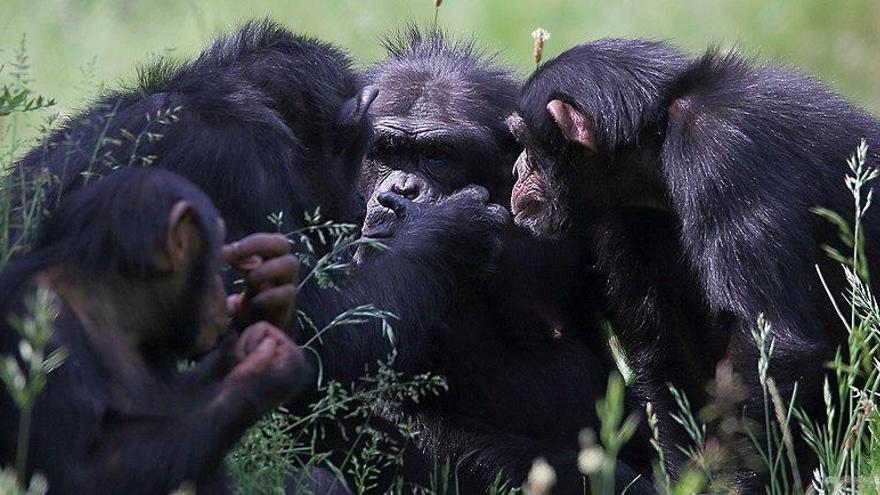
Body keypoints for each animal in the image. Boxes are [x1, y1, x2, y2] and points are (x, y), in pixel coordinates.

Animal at [0, 169, 310, 494]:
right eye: (214, 257)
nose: (220, 290)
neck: (110, 304)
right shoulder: (36, 320)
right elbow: (75, 473)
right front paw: (266, 368)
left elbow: (181, 392)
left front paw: (271, 290)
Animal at [508, 37, 880, 484]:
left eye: (525, 143)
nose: (516, 169)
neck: (655, 136)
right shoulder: (623, 218)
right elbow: (669, 350)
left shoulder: (721, 156)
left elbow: (773, 343)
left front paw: (739, 482)